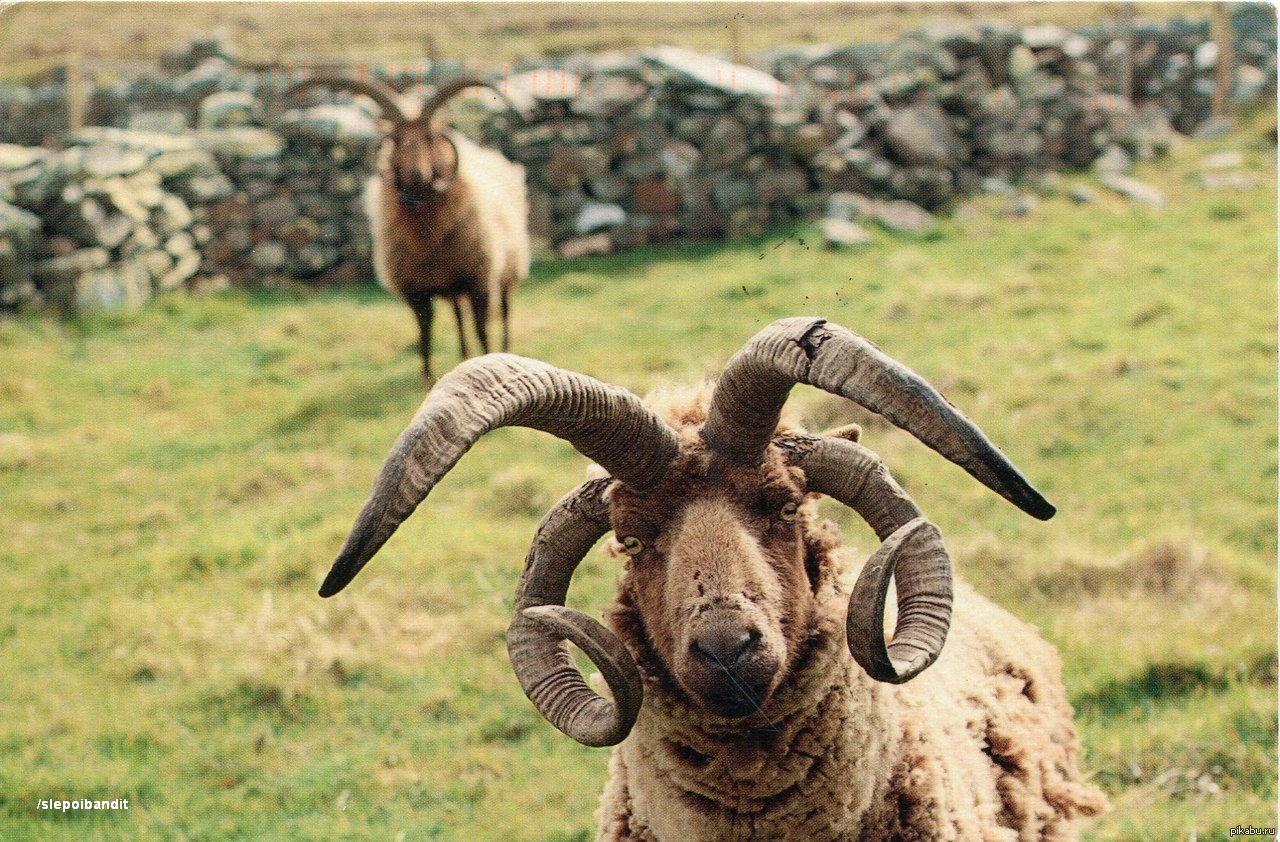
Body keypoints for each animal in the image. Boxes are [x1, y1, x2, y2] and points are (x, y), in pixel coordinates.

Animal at [290, 76, 529, 381]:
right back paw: (463, 356)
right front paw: (427, 376)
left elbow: (482, 329)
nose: (417, 176)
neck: (428, 235)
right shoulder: (416, 291)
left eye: (429, 138)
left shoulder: (479, 280)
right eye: (396, 140)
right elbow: (424, 332)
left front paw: (489, 361)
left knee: (505, 311)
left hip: (509, 269)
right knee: (458, 316)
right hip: (453, 289)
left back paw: (505, 349)